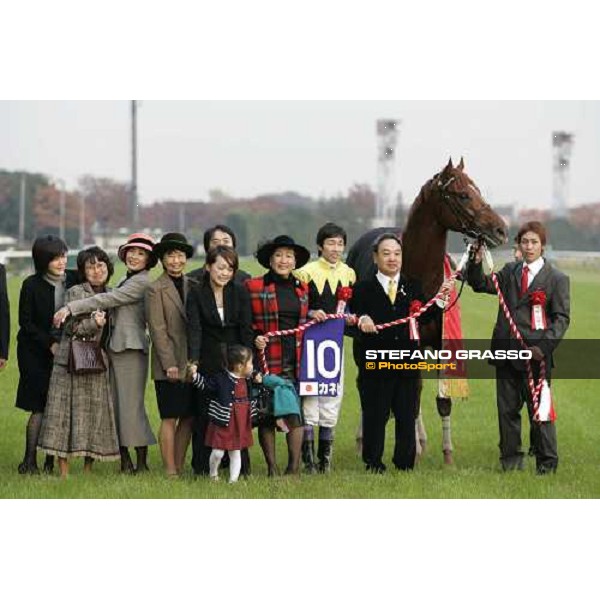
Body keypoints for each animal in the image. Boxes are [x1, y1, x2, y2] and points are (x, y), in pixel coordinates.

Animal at [346, 158, 506, 464]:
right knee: (364, 384)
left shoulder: (441, 342)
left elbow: (440, 400)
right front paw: (412, 452)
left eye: (478, 190)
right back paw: (362, 441)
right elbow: (410, 394)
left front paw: (446, 454)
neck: (419, 280)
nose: (501, 229)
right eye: (463, 195)